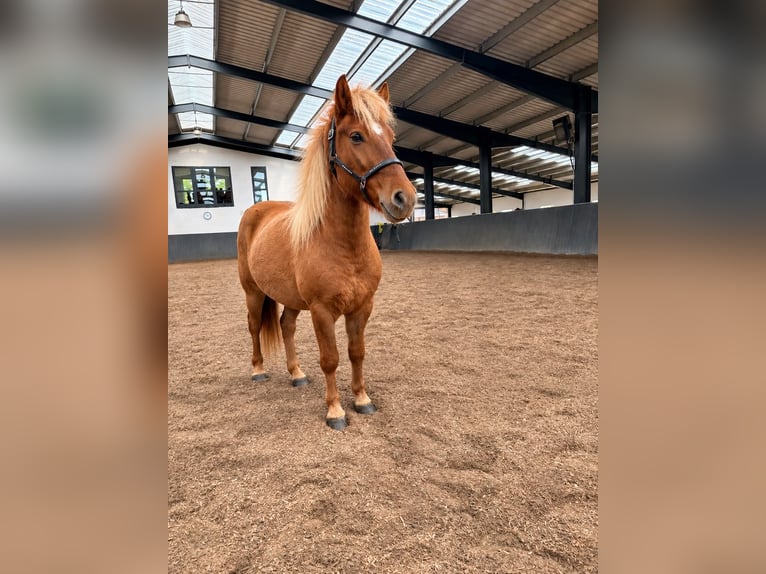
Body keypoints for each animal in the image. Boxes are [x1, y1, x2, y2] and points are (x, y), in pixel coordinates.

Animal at [236, 74, 417, 430]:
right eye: (356, 136)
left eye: (390, 138)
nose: (405, 198)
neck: (343, 247)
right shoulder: (321, 311)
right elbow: (330, 359)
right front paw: (335, 410)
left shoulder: (362, 307)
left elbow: (356, 352)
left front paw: (362, 400)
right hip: (253, 292)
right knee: (254, 326)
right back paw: (258, 370)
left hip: (290, 299)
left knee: (285, 326)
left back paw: (296, 374)